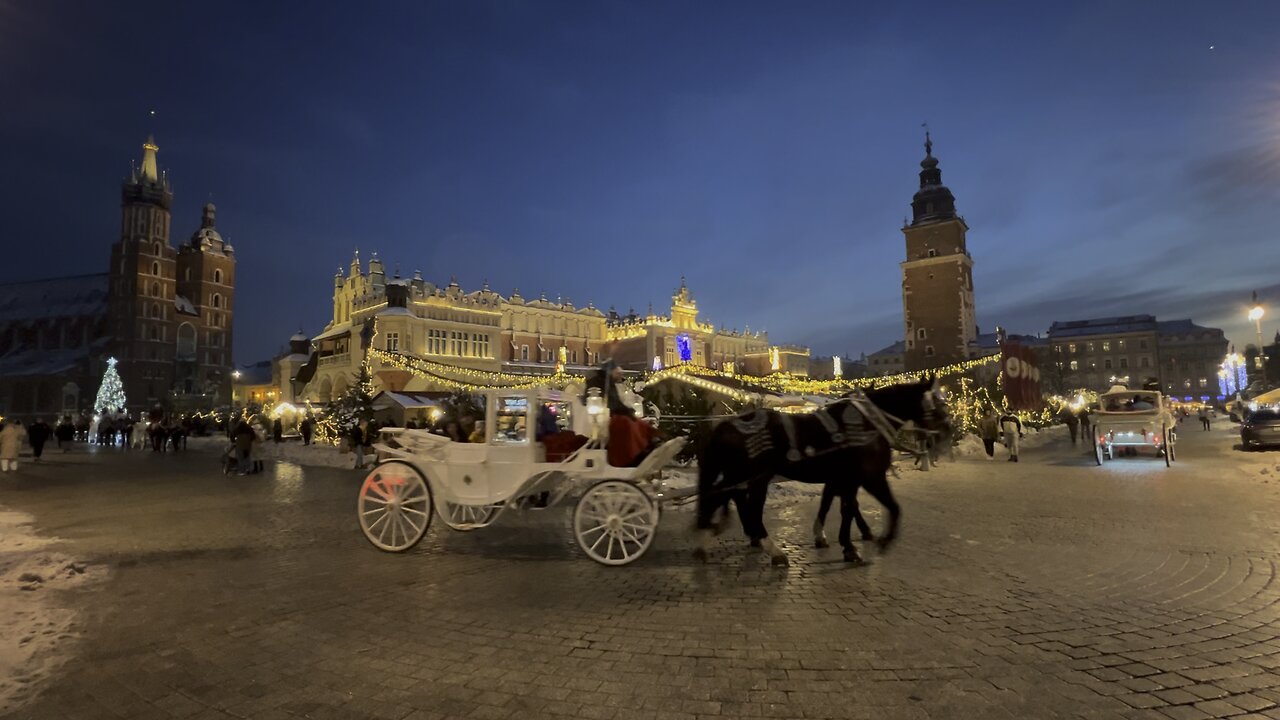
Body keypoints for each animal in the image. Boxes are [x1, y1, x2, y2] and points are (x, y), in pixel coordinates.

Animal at [691, 379, 952, 563]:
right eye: (936, 403)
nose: (948, 430)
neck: (868, 423)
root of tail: (727, 423)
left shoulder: (844, 479)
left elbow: (842, 507)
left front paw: (841, 542)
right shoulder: (869, 477)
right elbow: (890, 507)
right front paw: (878, 541)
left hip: (744, 476)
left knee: (727, 498)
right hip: (752, 476)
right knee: (736, 503)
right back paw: (764, 548)